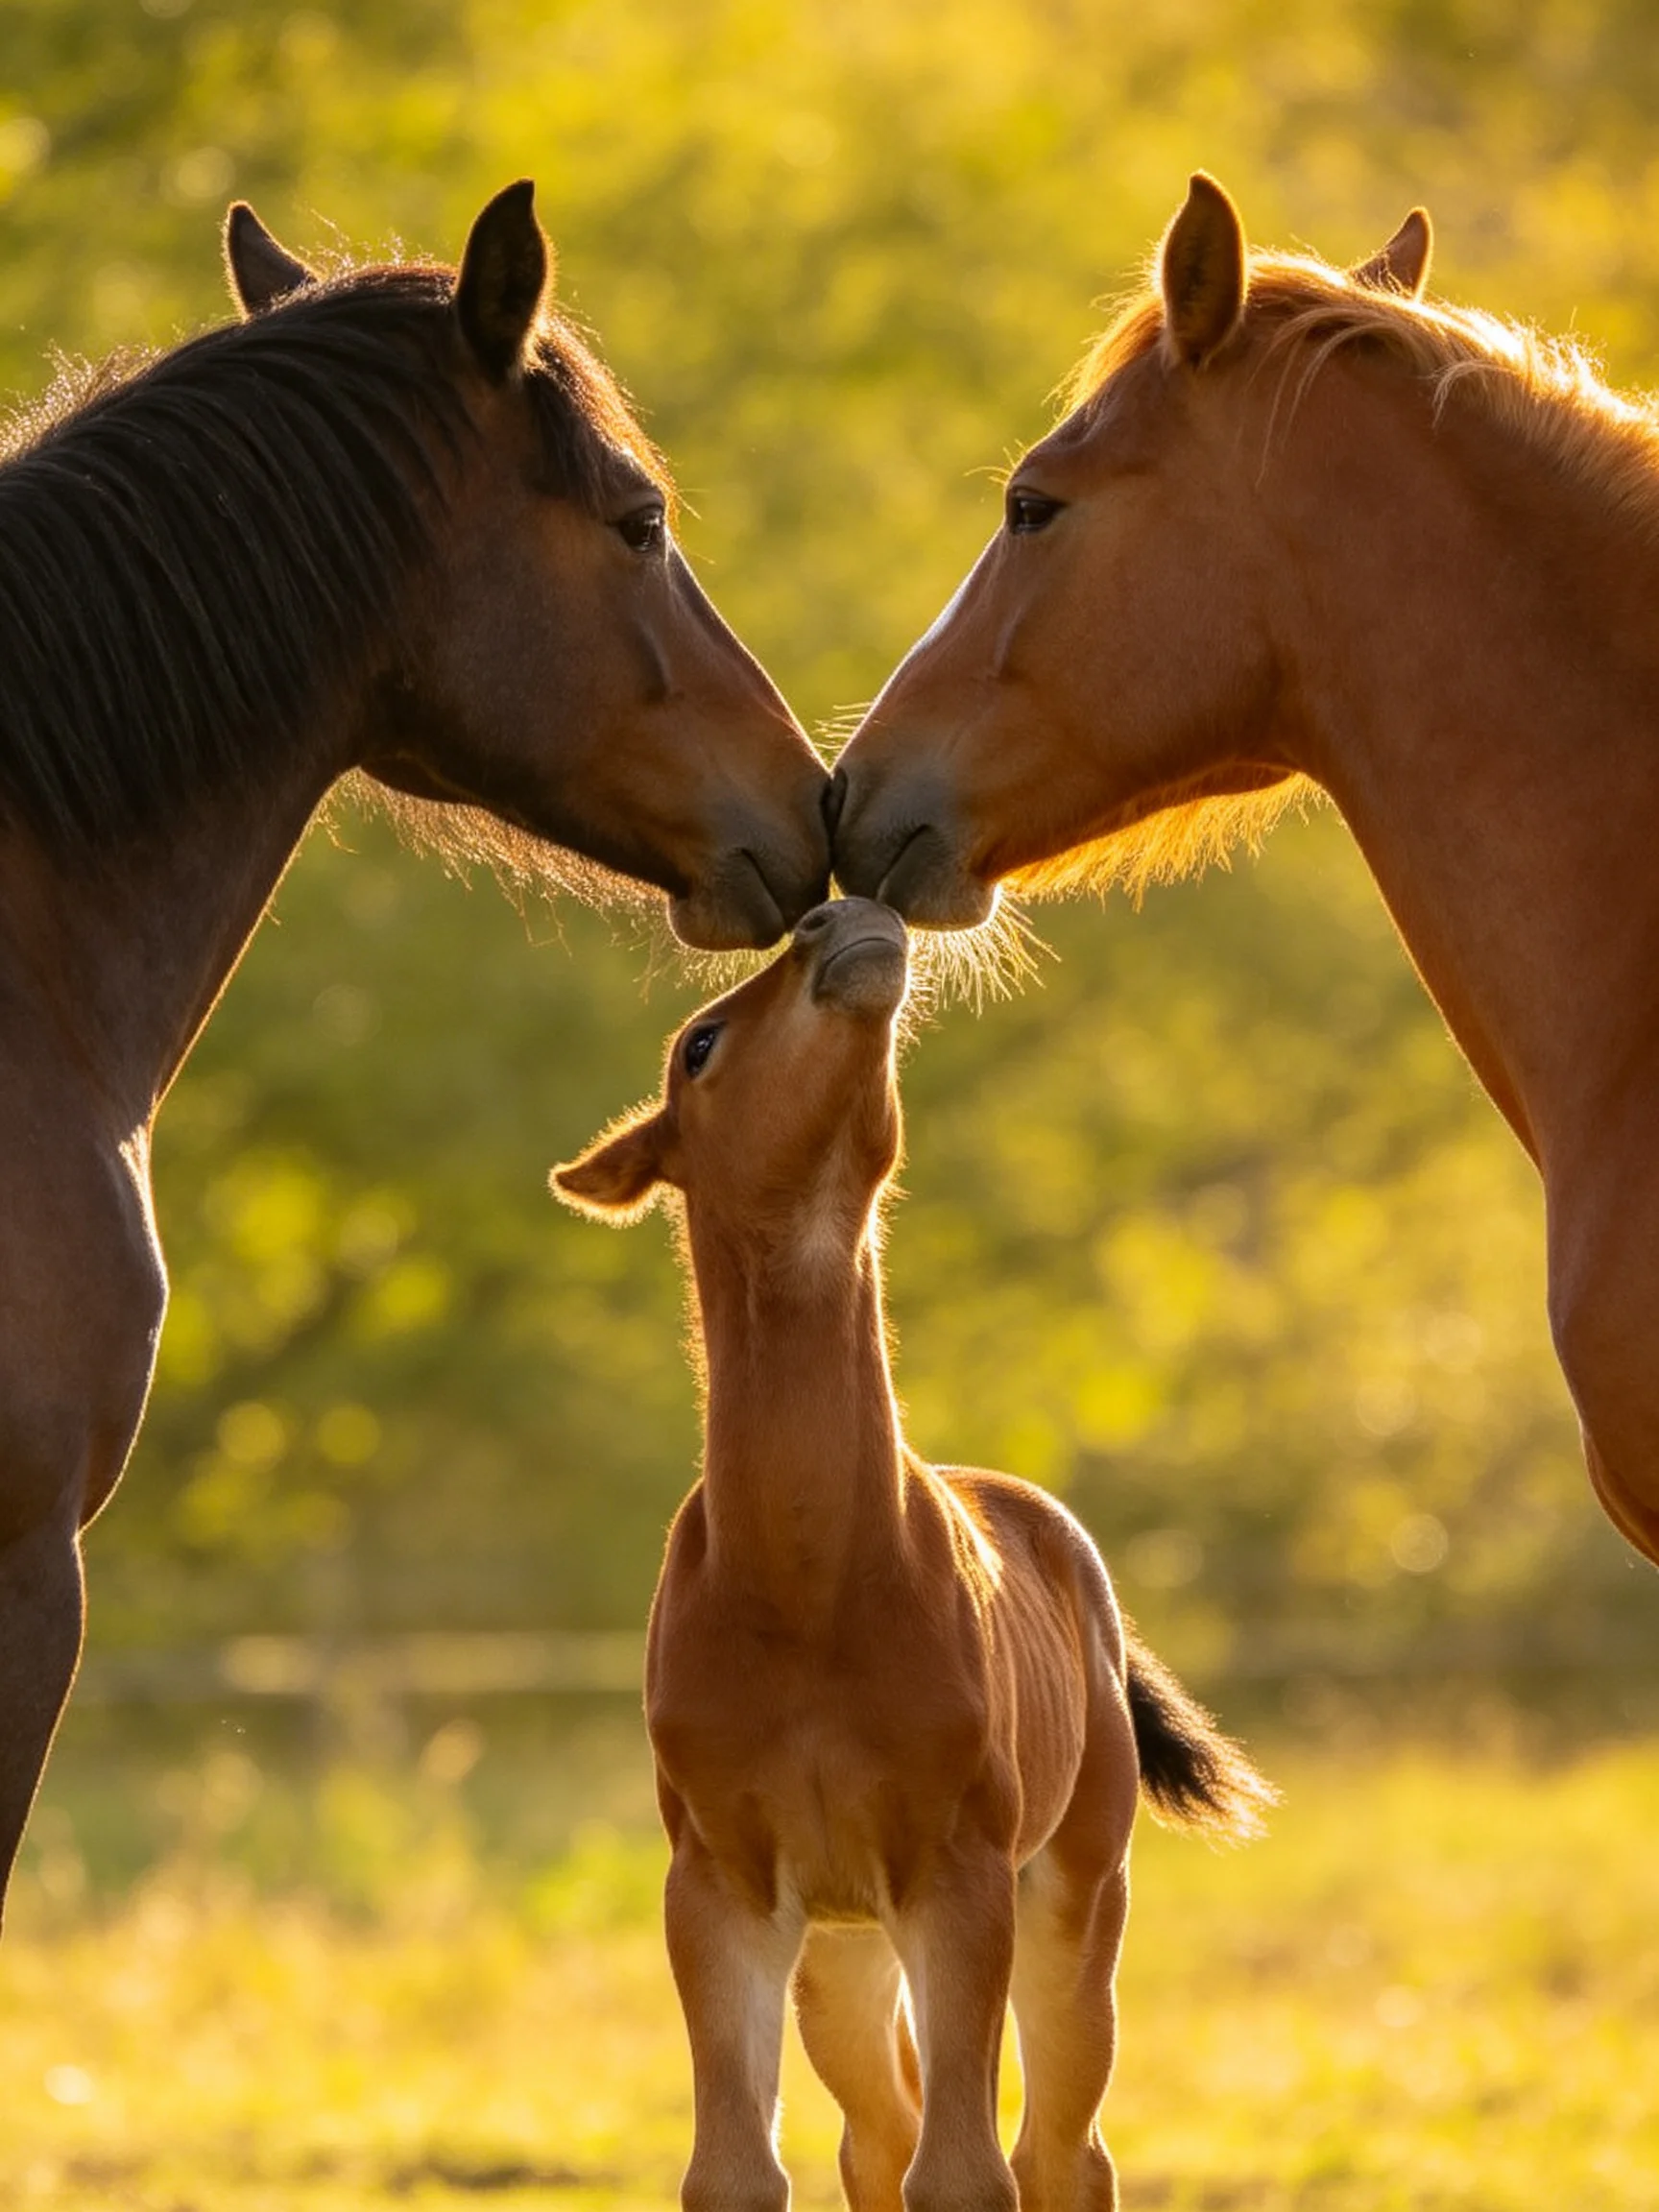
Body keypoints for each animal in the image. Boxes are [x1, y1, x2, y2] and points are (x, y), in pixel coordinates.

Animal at [554, 896, 1271, 2212]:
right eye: (699, 1046)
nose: (842, 916)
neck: (804, 1582)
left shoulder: (960, 1878)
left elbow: (968, 2173)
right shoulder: (722, 1887)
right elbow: (738, 2171)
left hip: (1073, 1894)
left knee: (1060, 2147)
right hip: (841, 1951)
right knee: (876, 2133)